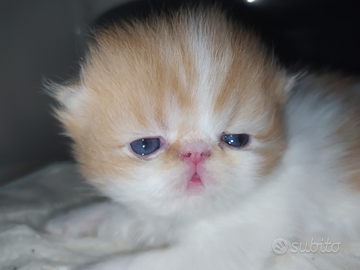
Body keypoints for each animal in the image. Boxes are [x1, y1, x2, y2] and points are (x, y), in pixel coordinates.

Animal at [46, 4, 360, 270]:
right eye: (145, 145)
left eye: (236, 140)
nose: (195, 152)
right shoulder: (152, 210)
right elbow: (114, 214)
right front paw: (66, 222)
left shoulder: (223, 247)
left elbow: (137, 262)